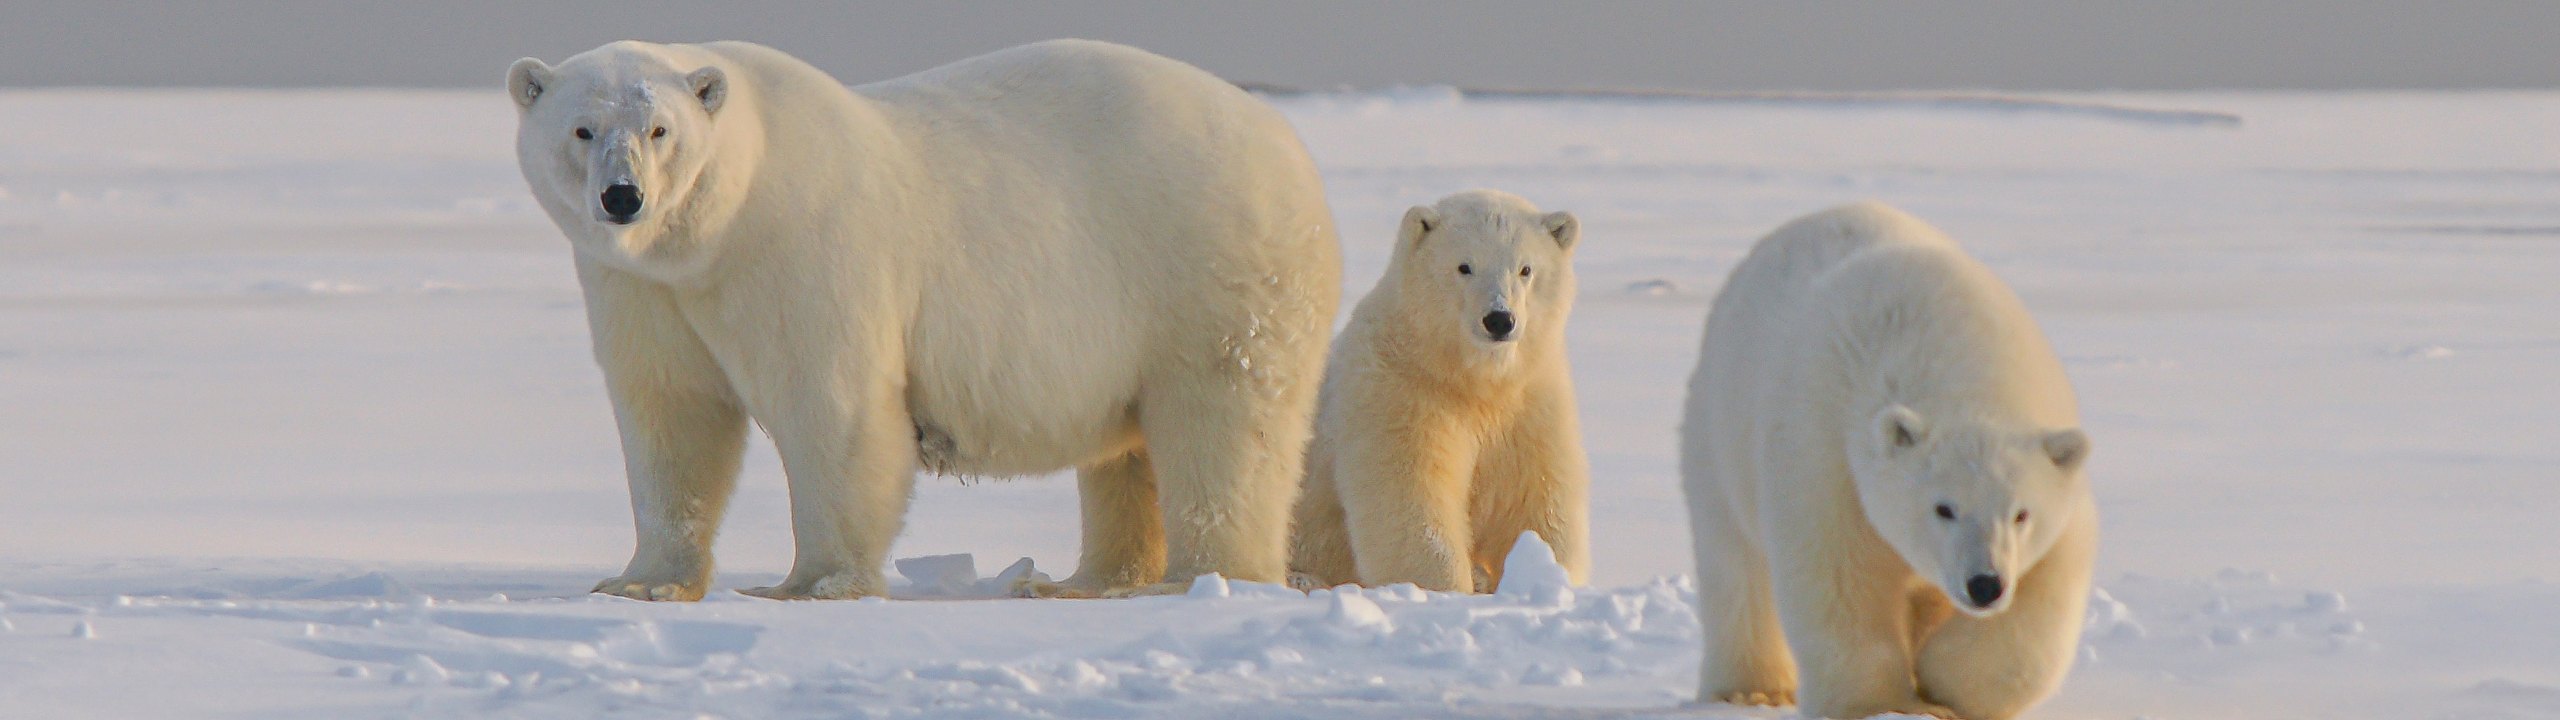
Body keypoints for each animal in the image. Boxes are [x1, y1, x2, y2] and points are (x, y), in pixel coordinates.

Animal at [501, 39, 1341, 599]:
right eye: (581, 129)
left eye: (660, 130)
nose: (623, 197)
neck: (720, 225)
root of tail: (1288, 145)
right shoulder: (641, 287)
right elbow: (672, 415)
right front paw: (641, 583)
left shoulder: (803, 248)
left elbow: (831, 408)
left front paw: (813, 584)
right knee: (1126, 453)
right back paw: (1087, 580)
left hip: (1207, 271)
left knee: (1221, 425)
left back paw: (1203, 577)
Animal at [1290, 188, 1587, 591]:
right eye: (1464, 266)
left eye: (1526, 269)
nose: (1499, 319)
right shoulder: (1398, 392)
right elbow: (1411, 498)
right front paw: (1446, 587)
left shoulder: (1530, 401)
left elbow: (1534, 499)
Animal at [1689, 203, 2088, 717]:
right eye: (1943, 508)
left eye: (2022, 513)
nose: (1984, 585)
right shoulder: (1825, 452)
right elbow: (1840, 575)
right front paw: (1885, 703)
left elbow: (2045, 592)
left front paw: (1944, 685)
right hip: (1718, 432)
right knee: (1735, 565)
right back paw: (1750, 688)